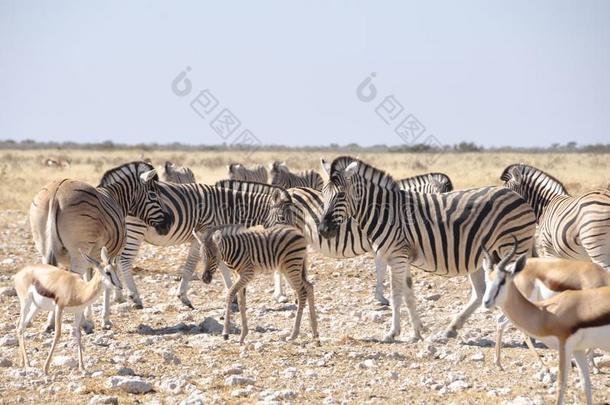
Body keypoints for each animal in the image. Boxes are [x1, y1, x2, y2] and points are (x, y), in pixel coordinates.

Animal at [30, 161, 173, 332]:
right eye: (153, 194)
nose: (169, 223)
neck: (116, 198)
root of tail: (56, 193)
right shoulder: (111, 254)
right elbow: (106, 284)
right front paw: (105, 320)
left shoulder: (91, 257)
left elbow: (89, 281)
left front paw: (90, 318)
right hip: (77, 253)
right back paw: (82, 325)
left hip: (44, 249)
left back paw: (51, 323)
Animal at [117, 178, 294, 308]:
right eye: (282, 218)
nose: (289, 237)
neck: (227, 208)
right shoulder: (203, 234)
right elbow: (191, 265)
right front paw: (183, 297)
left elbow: (221, 264)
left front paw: (232, 295)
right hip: (136, 228)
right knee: (125, 260)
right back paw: (135, 298)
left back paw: (118, 295)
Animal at [215, 170, 452, 306]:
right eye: (444, 195)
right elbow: (383, 268)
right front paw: (383, 297)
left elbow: (382, 268)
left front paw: (383, 295)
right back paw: (281, 295)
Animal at [316, 155, 536, 340]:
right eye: (323, 194)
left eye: (341, 195)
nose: (323, 229)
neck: (385, 213)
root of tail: (519, 198)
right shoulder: (400, 257)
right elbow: (409, 294)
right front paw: (416, 332)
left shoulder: (397, 256)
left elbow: (396, 295)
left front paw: (392, 333)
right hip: (482, 256)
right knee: (480, 292)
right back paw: (451, 329)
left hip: (511, 249)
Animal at [480, 237, 608, 404]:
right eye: (486, 281)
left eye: (502, 281)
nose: (486, 302)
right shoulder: (567, 346)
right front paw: (594, 366)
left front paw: (594, 366)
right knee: (504, 323)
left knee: (501, 322)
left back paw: (500, 363)